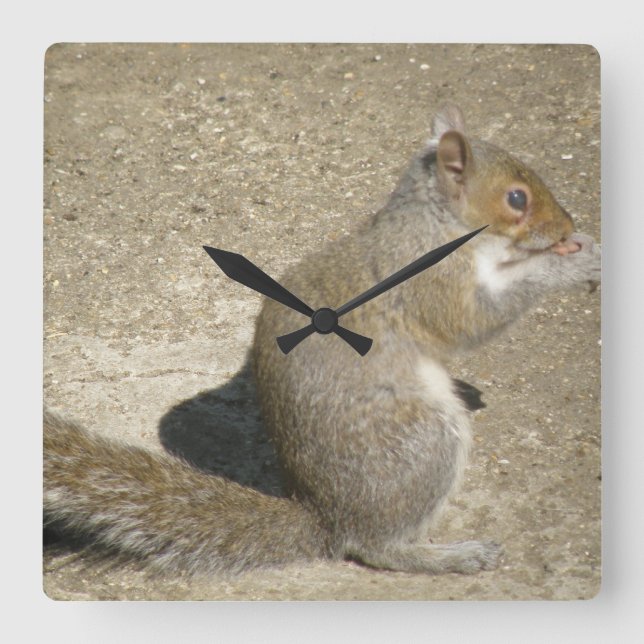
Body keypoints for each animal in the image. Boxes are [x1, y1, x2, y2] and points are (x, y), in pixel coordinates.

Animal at [44, 104, 600, 576]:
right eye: (516, 198)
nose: (568, 225)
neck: (436, 225)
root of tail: (327, 517)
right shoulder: (433, 284)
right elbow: (473, 321)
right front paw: (571, 264)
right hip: (423, 440)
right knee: (378, 547)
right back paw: (449, 556)